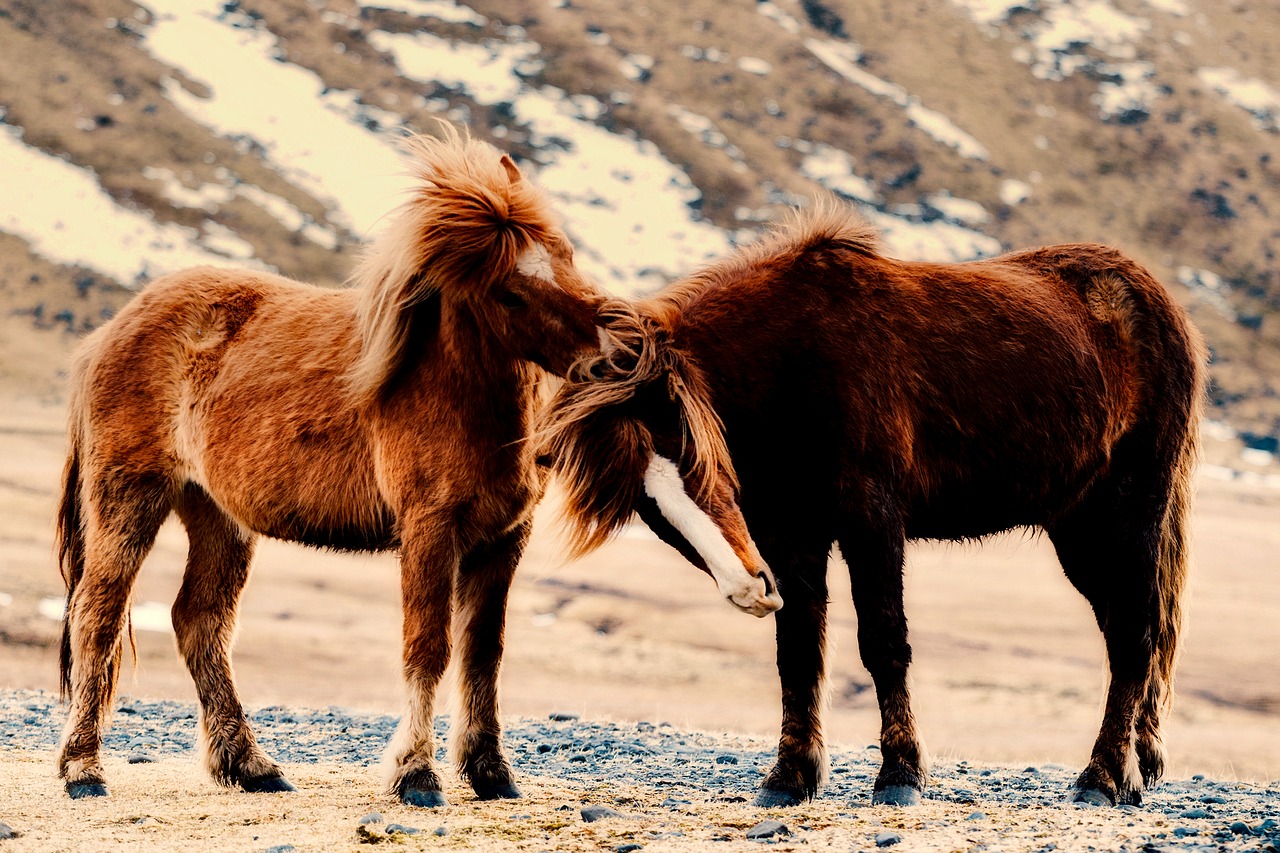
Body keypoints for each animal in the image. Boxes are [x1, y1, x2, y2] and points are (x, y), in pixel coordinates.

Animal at [55, 128, 604, 804]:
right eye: (509, 289)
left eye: (566, 254)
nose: (618, 345)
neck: (451, 386)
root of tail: (110, 331)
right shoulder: (430, 529)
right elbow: (428, 647)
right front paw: (415, 775)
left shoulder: (503, 538)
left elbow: (484, 653)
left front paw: (490, 772)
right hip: (130, 497)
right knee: (97, 616)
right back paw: (83, 770)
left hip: (216, 515)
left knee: (199, 621)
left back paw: (250, 766)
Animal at [545, 202, 1203, 809]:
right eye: (646, 504)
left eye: (692, 451)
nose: (750, 590)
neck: (793, 361)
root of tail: (1156, 301)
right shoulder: (792, 537)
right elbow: (798, 653)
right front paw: (790, 778)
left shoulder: (872, 521)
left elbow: (883, 642)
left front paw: (900, 773)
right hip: (1078, 529)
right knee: (1127, 633)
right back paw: (1134, 770)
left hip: (1130, 511)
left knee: (1135, 634)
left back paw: (1101, 778)